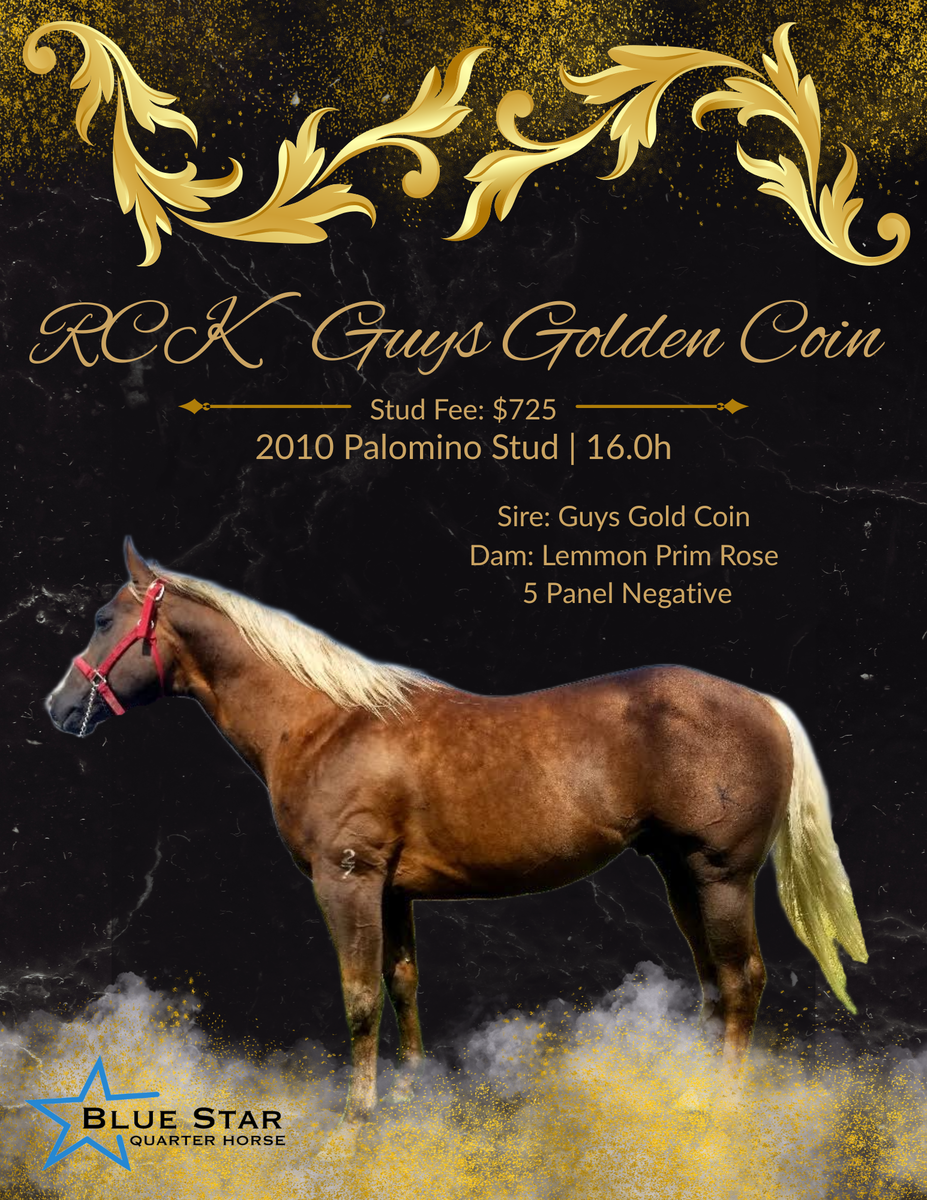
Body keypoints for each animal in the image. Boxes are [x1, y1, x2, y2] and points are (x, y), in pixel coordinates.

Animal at [45, 539, 867, 1157]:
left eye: (103, 618)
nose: (58, 707)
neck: (326, 723)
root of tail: (764, 705)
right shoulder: (392, 890)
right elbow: (403, 982)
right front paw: (413, 1093)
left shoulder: (346, 881)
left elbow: (359, 997)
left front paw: (358, 1120)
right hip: (677, 876)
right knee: (712, 986)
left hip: (719, 876)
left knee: (742, 981)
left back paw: (721, 1107)